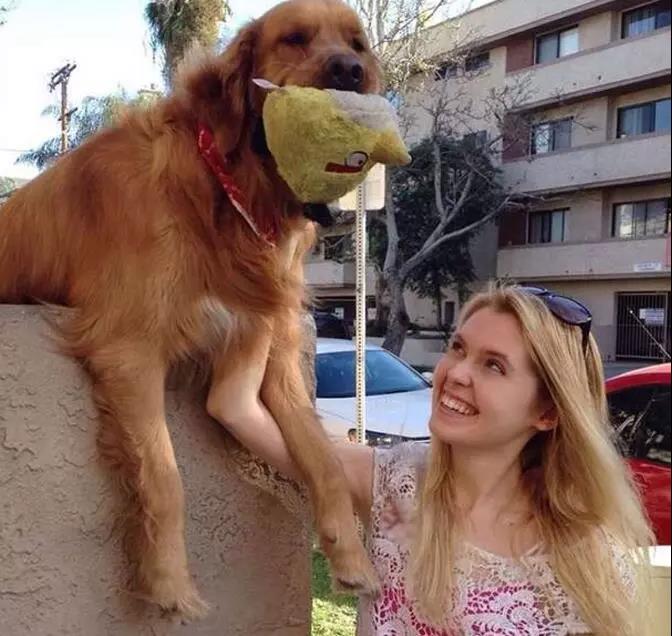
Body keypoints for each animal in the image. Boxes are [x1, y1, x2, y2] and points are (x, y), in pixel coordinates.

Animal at [0, 0, 381, 617]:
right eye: (295, 39)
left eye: (357, 45)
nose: (350, 71)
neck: (221, 189)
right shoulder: (129, 347)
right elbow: (164, 474)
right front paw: (168, 583)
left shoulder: (273, 349)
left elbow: (322, 459)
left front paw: (350, 558)